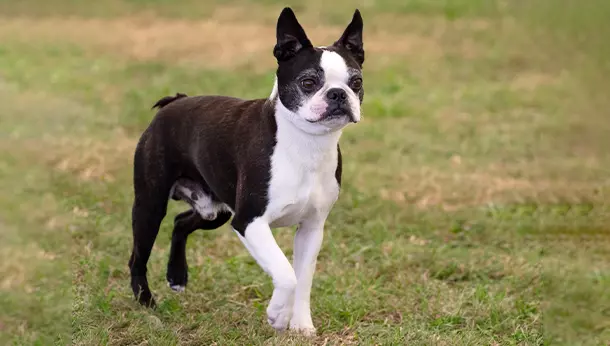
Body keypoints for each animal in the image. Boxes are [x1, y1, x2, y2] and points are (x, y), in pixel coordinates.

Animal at [128, 6, 364, 336]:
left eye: (356, 82)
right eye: (308, 82)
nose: (338, 94)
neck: (306, 144)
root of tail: (175, 101)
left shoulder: (312, 228)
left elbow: (303, 279)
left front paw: (301, 324)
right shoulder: (250, 221)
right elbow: (286, 273)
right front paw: (278, 314)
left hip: (215, 209)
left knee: (180, 222)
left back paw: (177, 277)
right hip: (150, 204)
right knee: (138, 255)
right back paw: (147, 303)